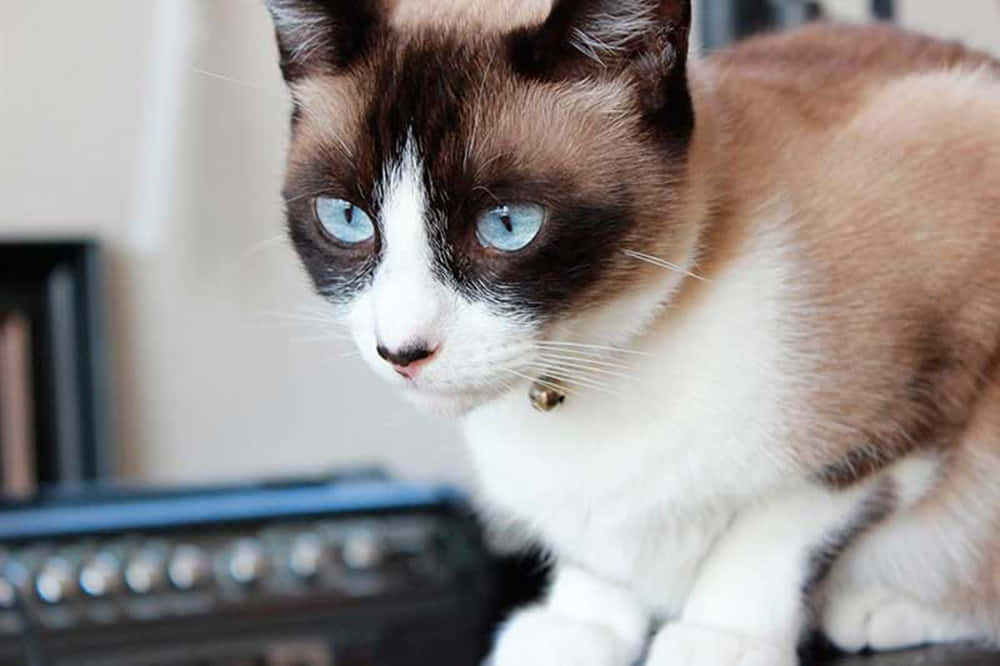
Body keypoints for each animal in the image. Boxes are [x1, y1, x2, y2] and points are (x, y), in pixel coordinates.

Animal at [264, 1, 1000, 664]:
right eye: (346, 219)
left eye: (508, 226)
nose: (402, 352)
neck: (583, 369)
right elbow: (596, 557)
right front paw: (583, 629)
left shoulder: (911, 408)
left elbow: (771, 532)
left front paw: (716, 639)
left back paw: (883, 610)